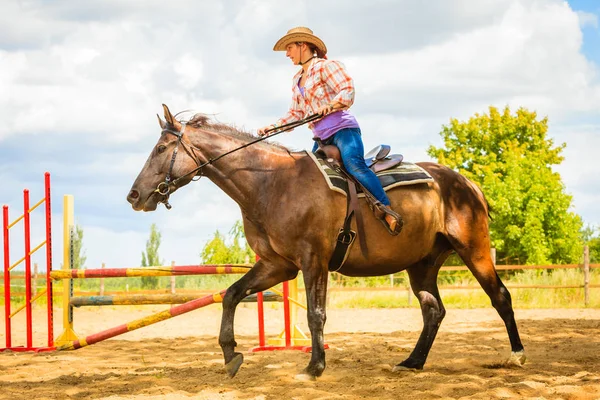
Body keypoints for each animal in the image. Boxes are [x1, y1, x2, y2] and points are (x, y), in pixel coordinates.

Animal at [126, 104, 524, 380]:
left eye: (161, 148)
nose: (134, 195)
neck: (272, 184)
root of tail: (466, 184)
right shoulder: (277, 266)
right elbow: (232, 295)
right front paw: (231, 356)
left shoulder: (312, 260)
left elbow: (316, 314)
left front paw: (314, 367)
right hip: (421, 265)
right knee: (433, 311)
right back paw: (411, 362)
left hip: (474, 250)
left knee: (500, 296)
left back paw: (517, 355)